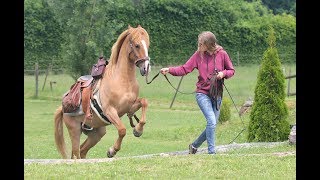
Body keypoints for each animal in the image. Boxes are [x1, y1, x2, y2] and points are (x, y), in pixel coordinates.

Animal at [54, 25, 151, 159]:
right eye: (137, 45)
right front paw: (112, 151)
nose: (146, 68)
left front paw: (138, 130)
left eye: (148, 44)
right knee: (76, 154)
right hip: (74, 130)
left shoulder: (129, 108)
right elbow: (122, 130)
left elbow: (144, 102)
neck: (122, 79)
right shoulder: (110, 111)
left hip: (96, 133)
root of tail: (63, 107)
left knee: (82, 150)